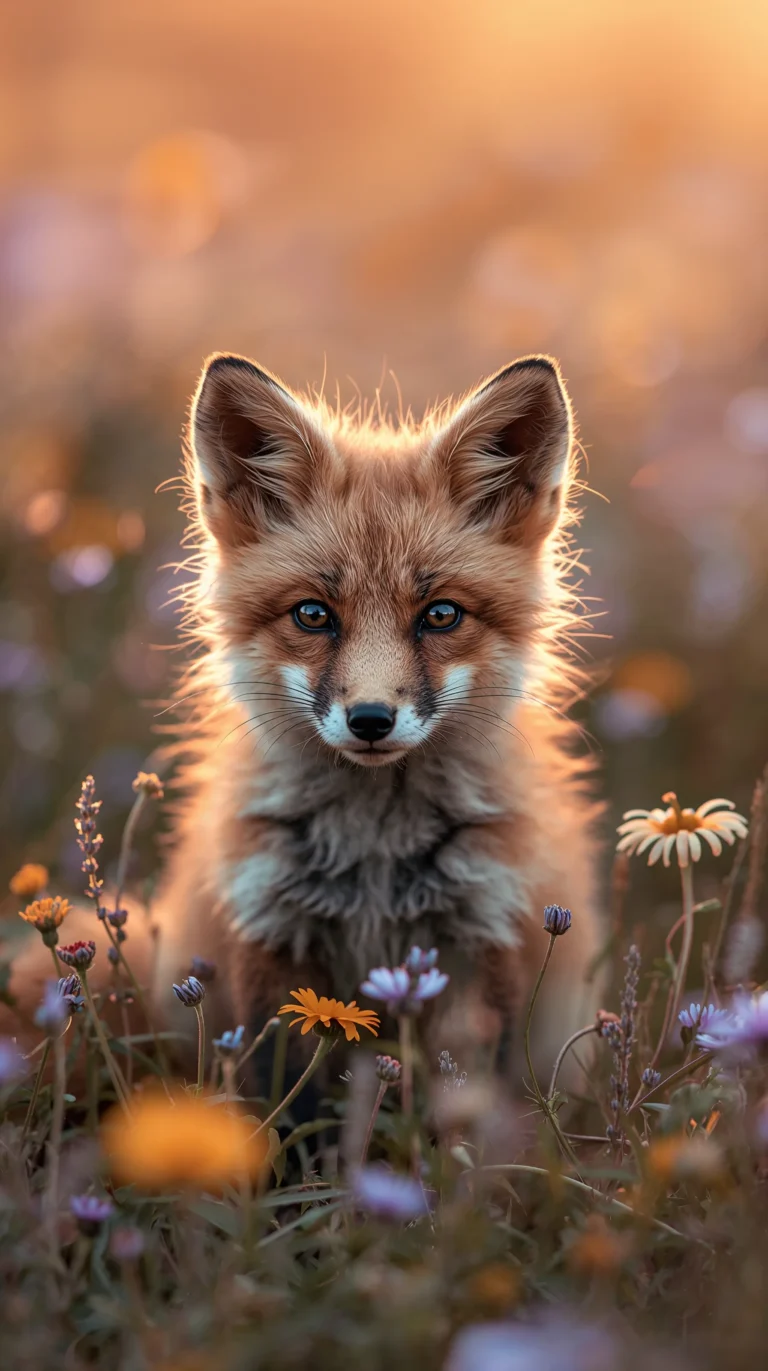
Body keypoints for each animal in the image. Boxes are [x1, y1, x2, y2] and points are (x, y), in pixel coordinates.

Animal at [4, 352, 603, 1086]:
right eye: (313, 614)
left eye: (441, 615)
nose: (371, 719)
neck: (375, 855)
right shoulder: (272, 938)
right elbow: (281, 1097)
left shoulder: (485, 939)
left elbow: (472, 1096)